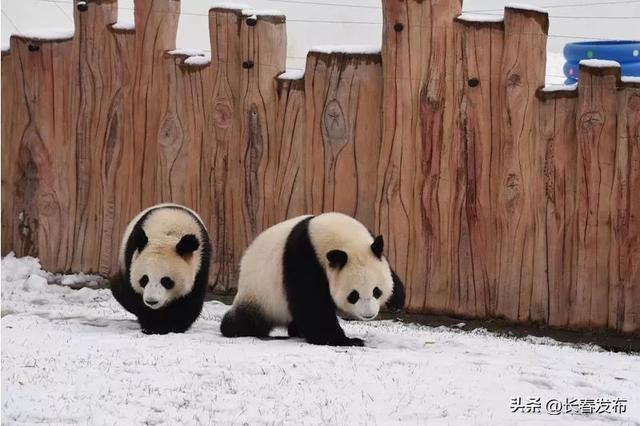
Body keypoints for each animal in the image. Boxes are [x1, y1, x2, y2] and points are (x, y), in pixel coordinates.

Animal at [109, 205, 211, 334]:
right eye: (144, 279)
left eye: (166, 281)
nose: (151, 301)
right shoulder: (131, 256)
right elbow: (136, 298)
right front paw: (152, 326)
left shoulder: (200, 266)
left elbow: (189, 301)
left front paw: (171, 327)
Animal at [220, 212, 404, 346]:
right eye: (354, 295)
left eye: (377, 291)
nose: (369, 315)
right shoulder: (304, 259)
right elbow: (312, 305)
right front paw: (348, 340)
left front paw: (396, 302)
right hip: (260, 293)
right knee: (247, 320)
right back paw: (234, 328)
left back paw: (296, 331)